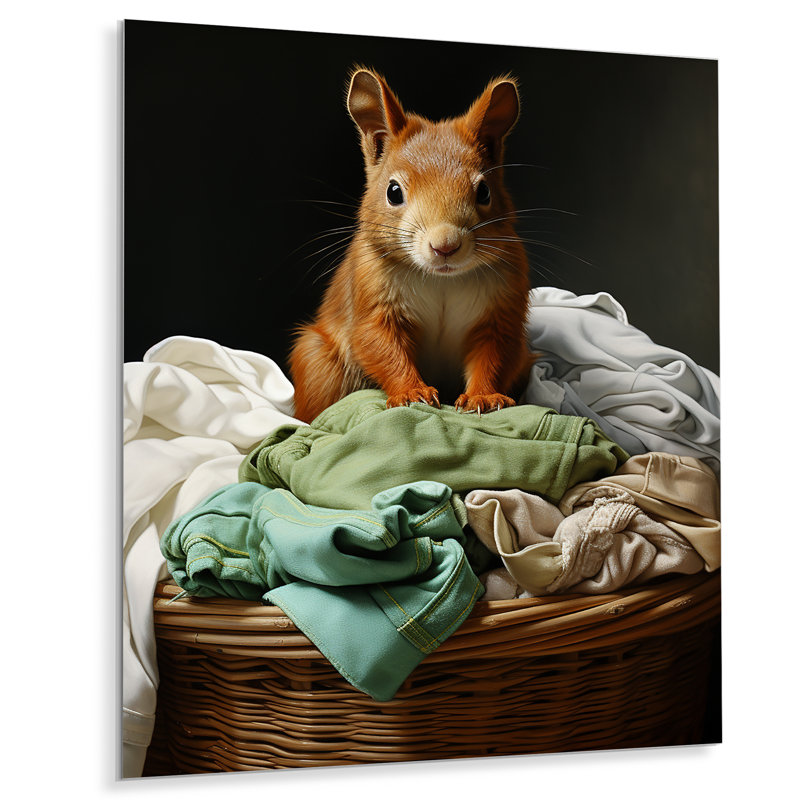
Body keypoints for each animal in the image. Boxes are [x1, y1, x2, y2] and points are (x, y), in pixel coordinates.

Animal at [289, 67, 534, 423]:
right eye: (393, 192)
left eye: (484, 191)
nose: (445, 246)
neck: (441, 279)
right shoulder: (372, 293)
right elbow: (380, 343)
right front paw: (411, 393)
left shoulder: (501, 306)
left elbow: (495, 352)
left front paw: (484, 397)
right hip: (318, 363)